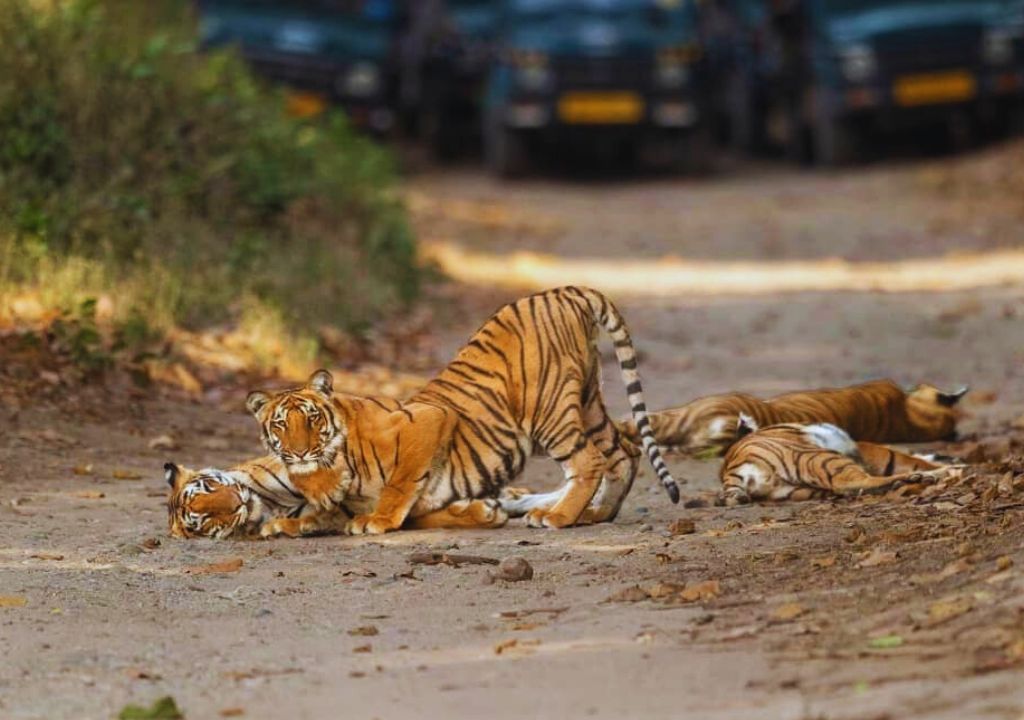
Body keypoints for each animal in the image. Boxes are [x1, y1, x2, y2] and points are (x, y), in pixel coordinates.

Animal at [244, 286, 680, 537]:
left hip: (550, 411)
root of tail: (565, 292)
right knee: (624, 451)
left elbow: (400, 484)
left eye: (312, 419)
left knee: (589, 461)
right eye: (280, 424)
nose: (299, 452)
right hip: (587, 402)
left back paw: (557, 517)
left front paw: (377, 521)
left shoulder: (427, 420)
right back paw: (594, 514)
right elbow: (421, 511)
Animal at [717, 414, 957, 505]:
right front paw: (946, 465)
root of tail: (728, 472)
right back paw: (928, 476)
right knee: (851, 482)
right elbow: (900, 457)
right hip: (814, 456)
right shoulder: (862, 448)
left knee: (849, 488)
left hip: (798, 489)